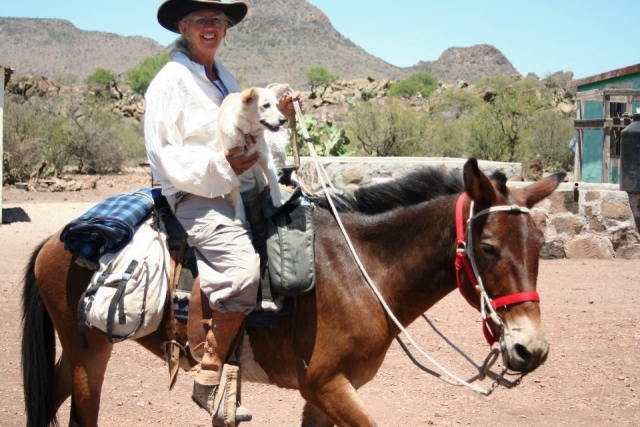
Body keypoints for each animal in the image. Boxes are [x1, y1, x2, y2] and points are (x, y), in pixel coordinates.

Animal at [21, 158, 564, 426]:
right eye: (489, 247)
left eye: (539, 245)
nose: (531, 349)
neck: (360, 270)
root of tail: (52, 240)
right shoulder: (326, 386)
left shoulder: (324, 394)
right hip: (91, 357)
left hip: (76, 355)